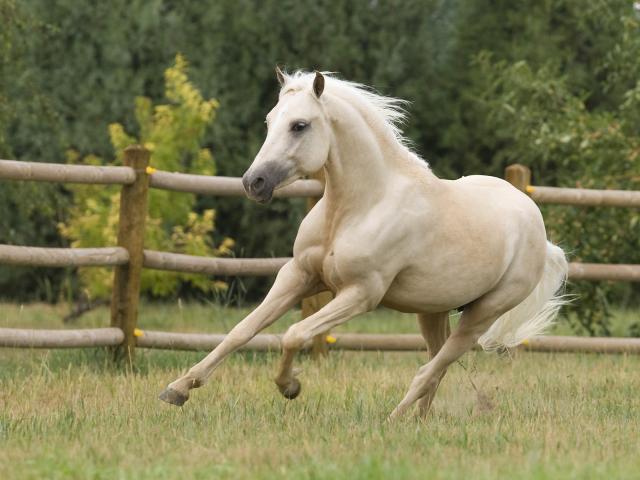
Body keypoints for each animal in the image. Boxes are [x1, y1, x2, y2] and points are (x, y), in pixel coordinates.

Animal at [159, 69, 564, 418]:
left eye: (300, 125)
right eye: (270, 121)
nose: (254, 183)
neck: (358, 207)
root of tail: (538, 229)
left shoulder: (360, 293)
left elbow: (294, 334)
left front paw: (290, 387)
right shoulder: (298, 275)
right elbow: (242, 330)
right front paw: (178, 389)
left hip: (482, 315)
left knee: (432, 367)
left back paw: (394, 420)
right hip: (431, 310)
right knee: (437, 366)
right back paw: (418, 421)